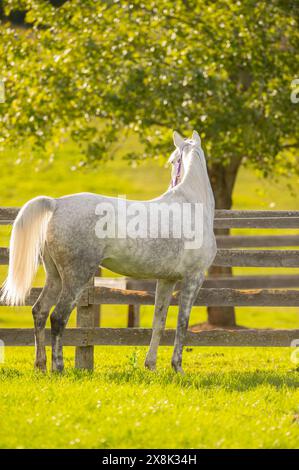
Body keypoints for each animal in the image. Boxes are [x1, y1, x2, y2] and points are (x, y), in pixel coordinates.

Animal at [0, 130, 218, 372]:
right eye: (172, 161)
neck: (192, 206)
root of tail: (57, 204)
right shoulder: (194, 277)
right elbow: (182, 323)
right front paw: (177, 368)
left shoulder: (166, 280)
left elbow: (159, 322)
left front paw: (150, 366)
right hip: (76, 278)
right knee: (58, 317)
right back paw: (59, 367)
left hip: (55, 276)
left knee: (40, 311)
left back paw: (41, 365)